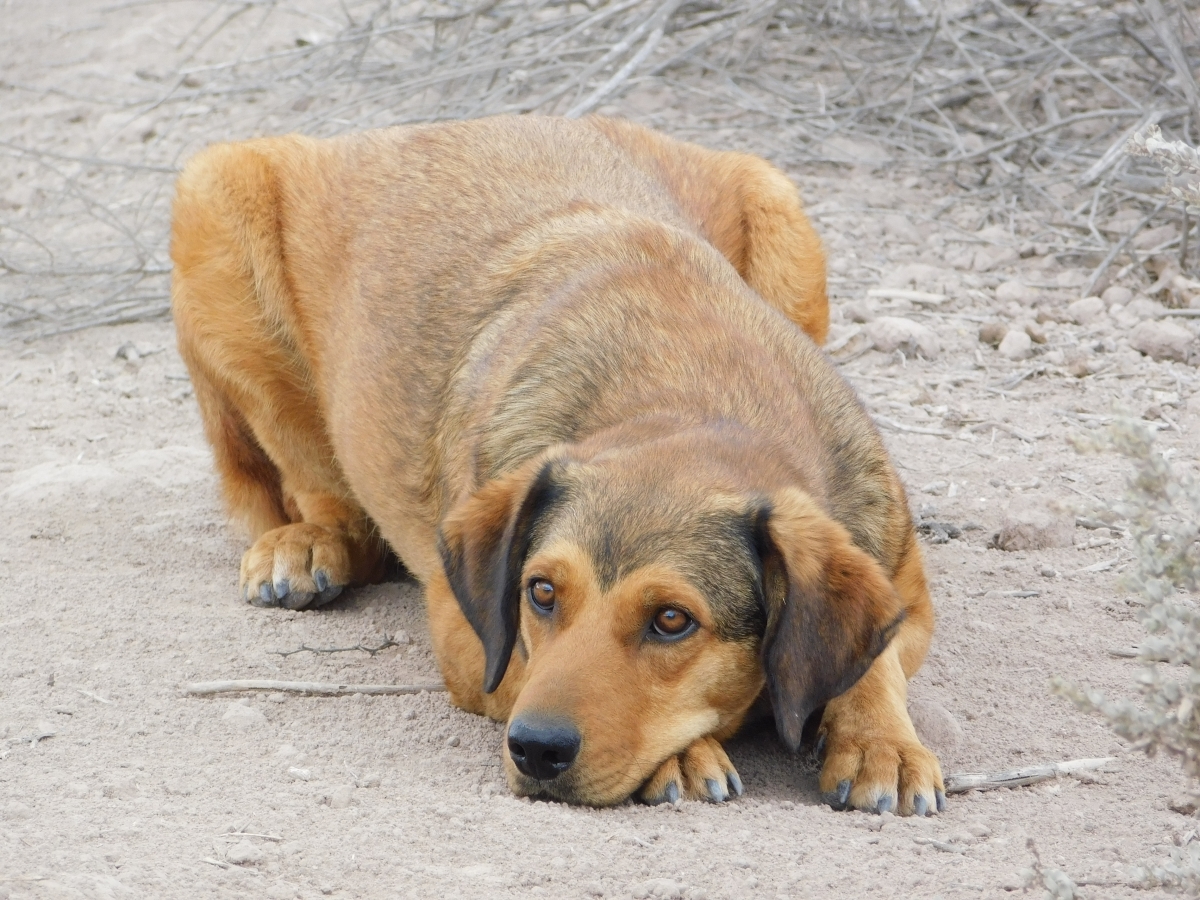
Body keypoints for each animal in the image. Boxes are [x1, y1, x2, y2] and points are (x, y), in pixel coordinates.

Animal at [169, 114, 940, 816]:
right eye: (540, 593)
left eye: (672, 620)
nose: (536, 749)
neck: (693, 393)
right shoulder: (472, 639)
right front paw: (682, 755)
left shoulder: (903, 593)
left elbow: (873, 665)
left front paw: (883, 744)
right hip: (215, 204)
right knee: (322, 495)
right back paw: (305, 546)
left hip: (783, 214)